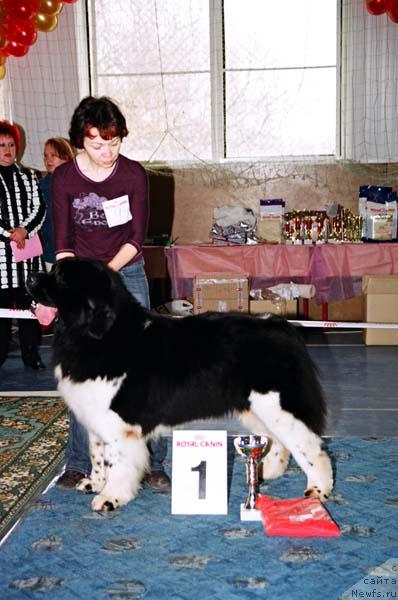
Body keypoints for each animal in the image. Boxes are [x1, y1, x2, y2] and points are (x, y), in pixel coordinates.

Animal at [28, 258, 332, 510]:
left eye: (61, 277)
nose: (30, 276)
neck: (98, 334)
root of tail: (283, 326)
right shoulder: (96, 418)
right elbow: (98, 456)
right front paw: (95, 483)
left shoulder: (118, 425)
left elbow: (118, 461)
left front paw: (110, 497)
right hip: (258, 408)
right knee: (279, 441)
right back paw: (267, 471)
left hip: (279, 405)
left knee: (311, 448)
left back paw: (317, 491)